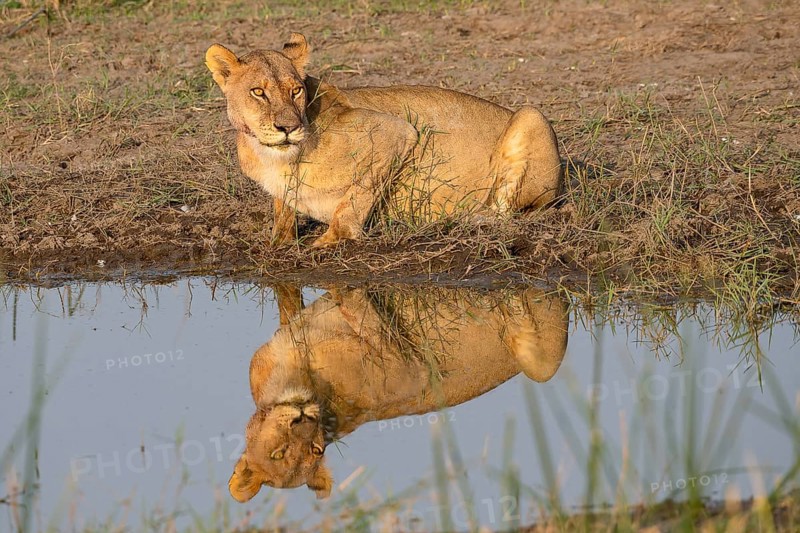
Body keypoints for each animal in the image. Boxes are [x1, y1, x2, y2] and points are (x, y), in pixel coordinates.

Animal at [205, 33, 562, 247]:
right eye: (258, 92)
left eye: (295, 91)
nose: (288, 128)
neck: (272, 156)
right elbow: (283, 212)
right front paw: (277, 242)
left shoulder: (395, 132)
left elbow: (354, 200)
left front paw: (330, 241)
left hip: (532, 116)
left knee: (510, 208)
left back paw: (468, 217)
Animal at [228, 284, 569, 502]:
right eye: (279, 453)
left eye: (315, 450)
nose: (302, 418)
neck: (289, 377)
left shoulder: (403, 365)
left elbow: (351, 299)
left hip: (542, 368)